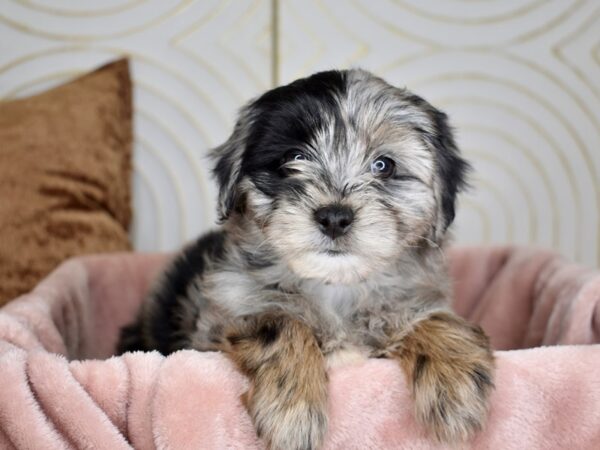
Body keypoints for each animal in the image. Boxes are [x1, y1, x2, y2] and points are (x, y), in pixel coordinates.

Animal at [119, 69, 494, 450]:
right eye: (293, 158)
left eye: (383, 166)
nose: (335, 217)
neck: (334, 286)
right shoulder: (221, 317)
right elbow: (279, 322)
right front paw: (292, 408)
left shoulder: (412, 297)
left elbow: (434, 318)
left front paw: (455, 383)